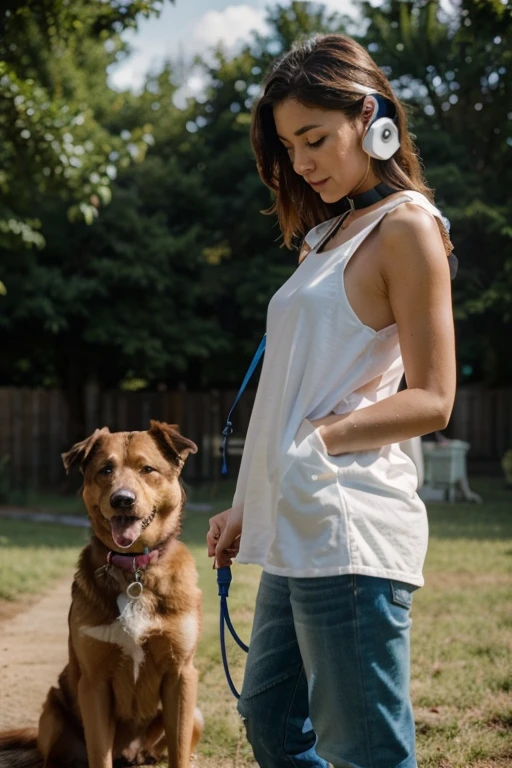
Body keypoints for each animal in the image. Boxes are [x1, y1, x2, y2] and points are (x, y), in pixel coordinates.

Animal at [0, 424, 204, 764]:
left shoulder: (181, 675)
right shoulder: (94, 684)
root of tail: (130, 752)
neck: (133, 568)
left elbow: (178, 752)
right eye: (105, 470)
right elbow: (99, 754)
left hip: (197, 715)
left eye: (147, 469)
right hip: (53, 711)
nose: (122, 500)